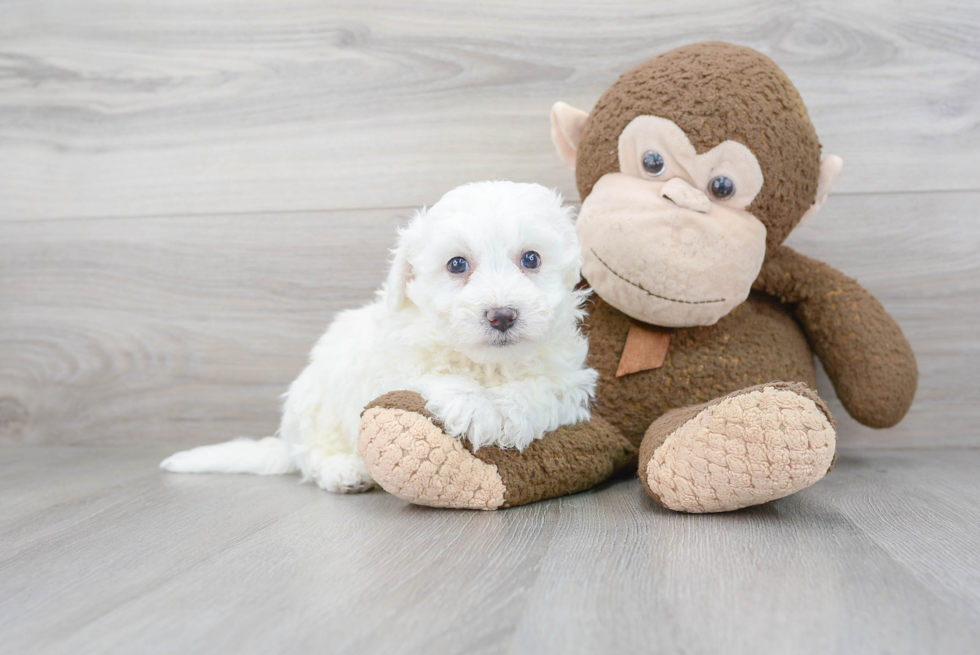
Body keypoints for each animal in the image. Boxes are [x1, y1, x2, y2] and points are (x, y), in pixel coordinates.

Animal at [161, 182, 596, 494]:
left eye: (531, 259)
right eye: (457, 265)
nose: (502, 315)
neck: (487, 365)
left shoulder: (570, 381)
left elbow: (545, 389)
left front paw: (510, 409)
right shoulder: (391, 364)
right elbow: (426, 377)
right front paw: (472, 405)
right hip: (313, 403)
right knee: (312, 455)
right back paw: (344, 471)